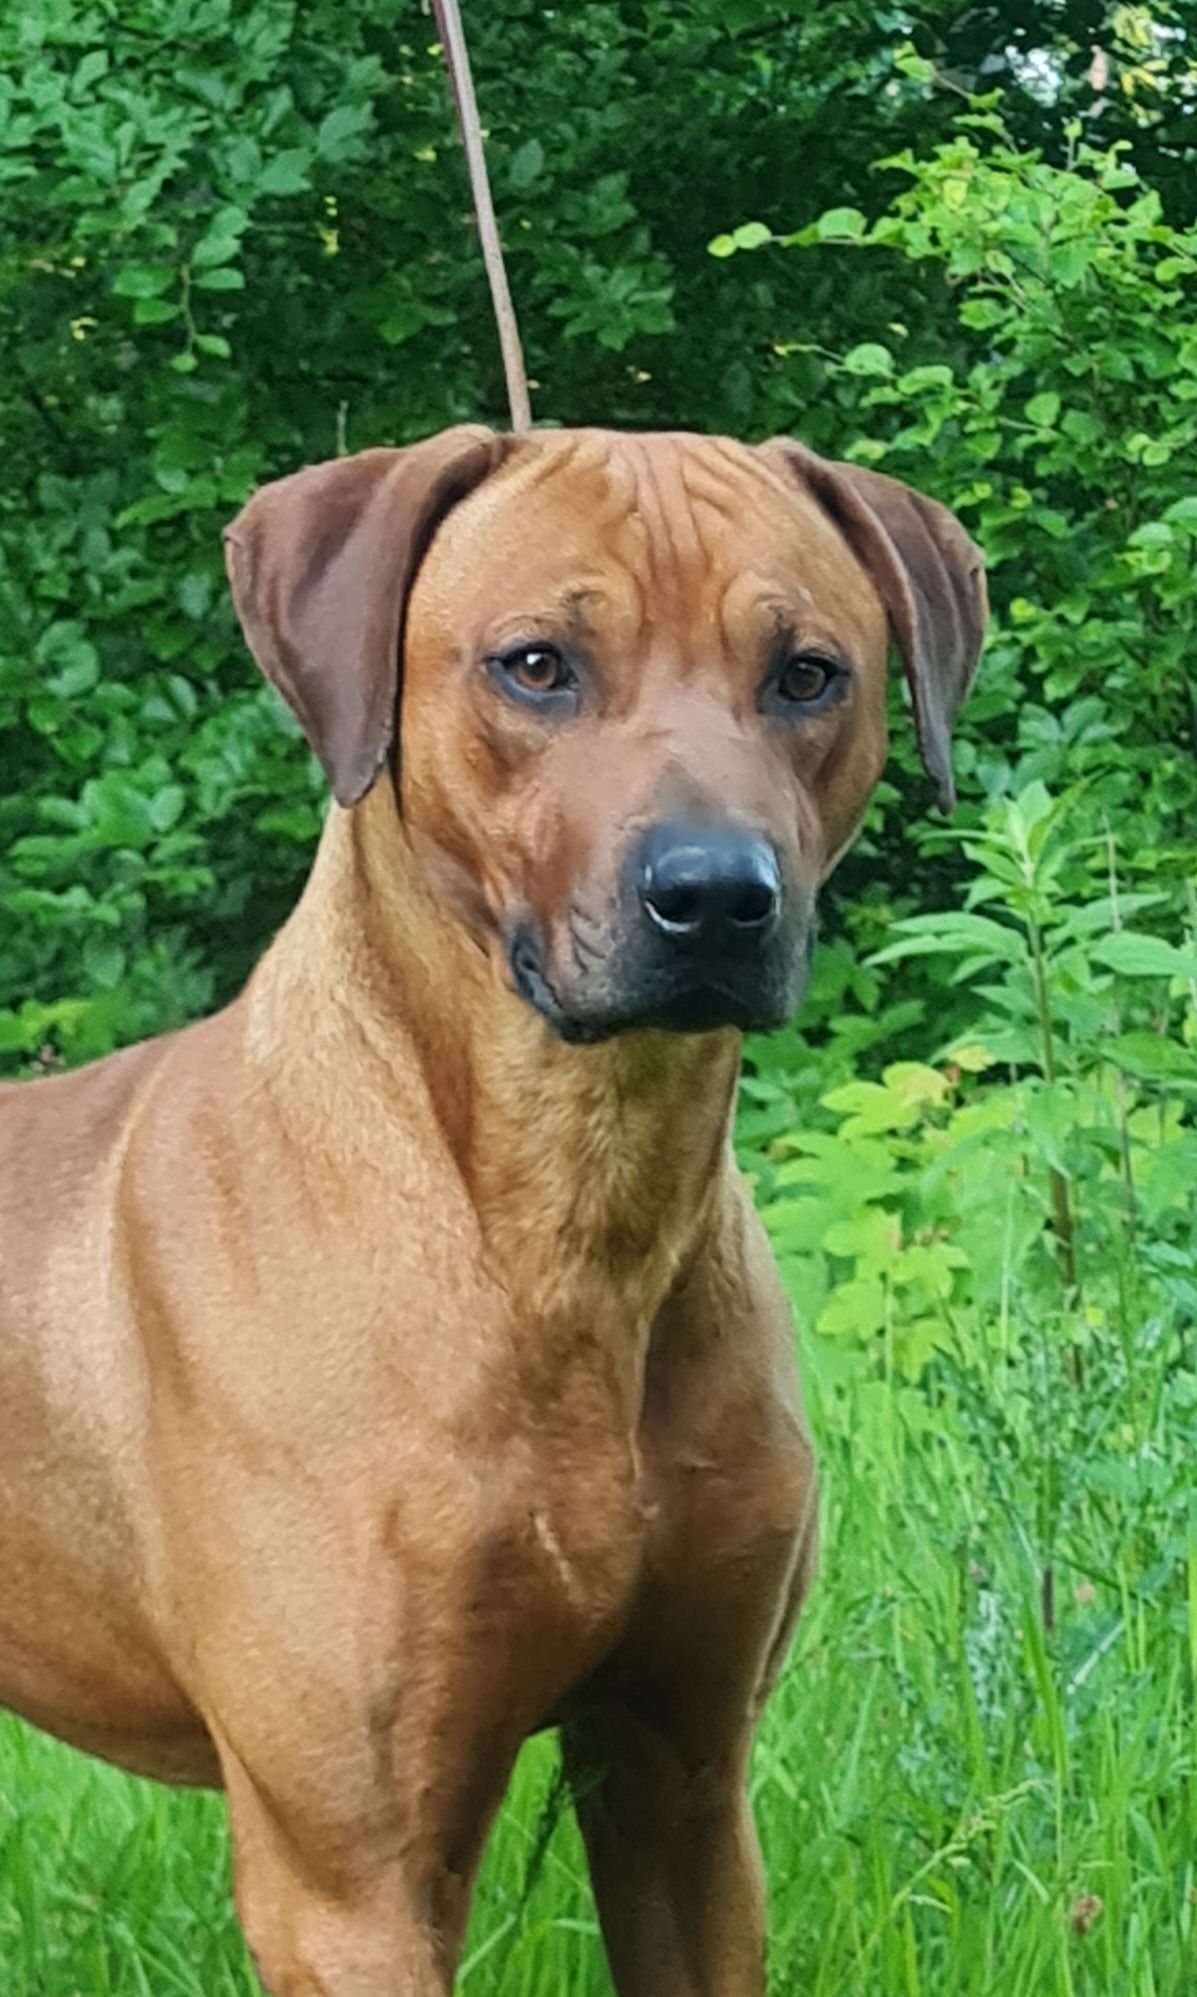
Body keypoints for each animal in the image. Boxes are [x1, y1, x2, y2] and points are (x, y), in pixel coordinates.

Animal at [0, 426, 984, 1995]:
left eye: (808, 673)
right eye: (535, 665)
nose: (716, 895)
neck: (570, 1212)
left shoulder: (683, 1782)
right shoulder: (351, 1879)